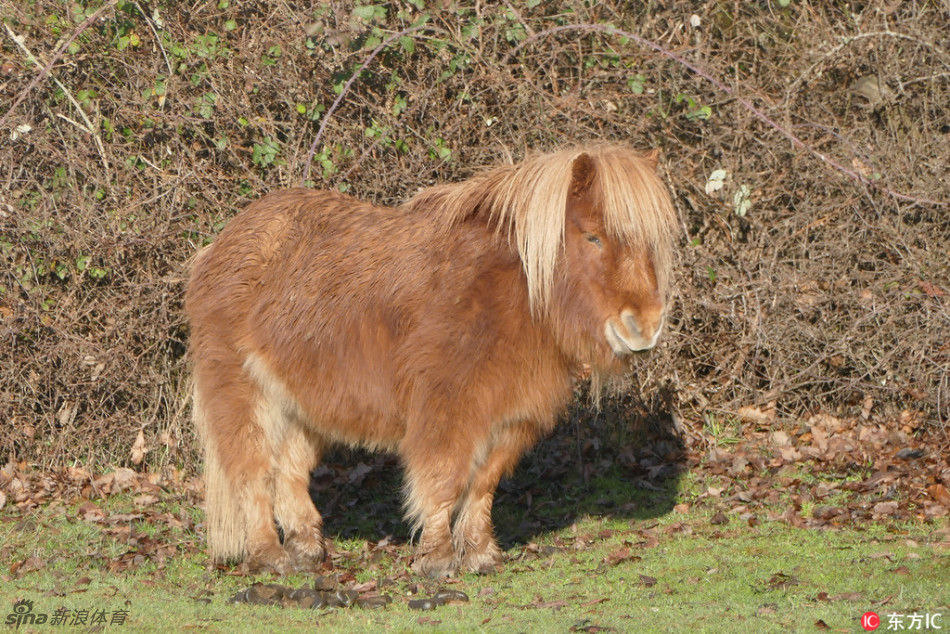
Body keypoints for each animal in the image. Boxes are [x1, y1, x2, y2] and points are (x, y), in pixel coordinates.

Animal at [184, 144, 676, 576]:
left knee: (288, 471)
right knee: (251, 472)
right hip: (243, 394)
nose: (644, 328)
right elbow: (444, 480)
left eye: (652, 244)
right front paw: (437, 559)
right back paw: (271, 557)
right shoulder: (447, 410)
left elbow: (483, 484)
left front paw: (480, 554)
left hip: (301, 405)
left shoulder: (511, 416)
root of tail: (218, 246)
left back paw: (307, 550)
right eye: (592, 236)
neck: (508, 293)